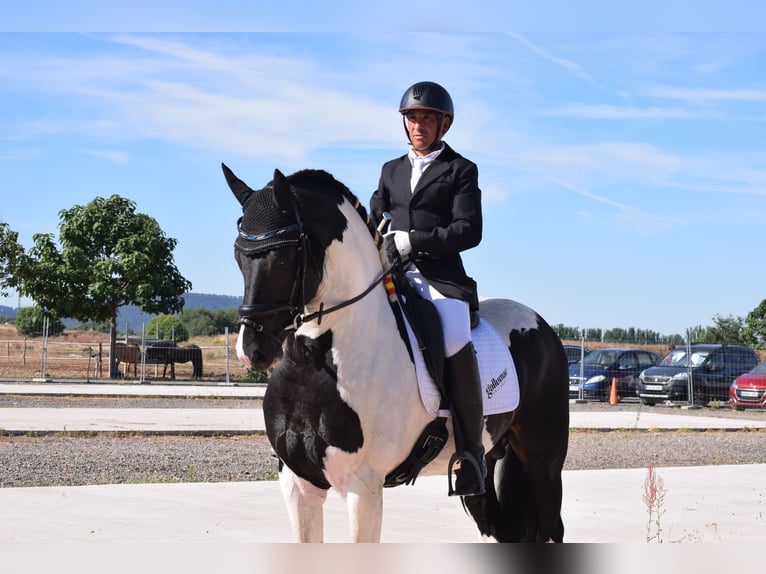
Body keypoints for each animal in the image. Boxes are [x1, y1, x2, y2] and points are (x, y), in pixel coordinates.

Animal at [224, 163, 568, 544]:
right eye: (238, 256)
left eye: (284, 257)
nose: (251, 350)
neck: (314, 362)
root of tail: (542, 326)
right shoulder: (297, 482)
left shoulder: (363, 487)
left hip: (543, 462)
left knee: (552, 527)